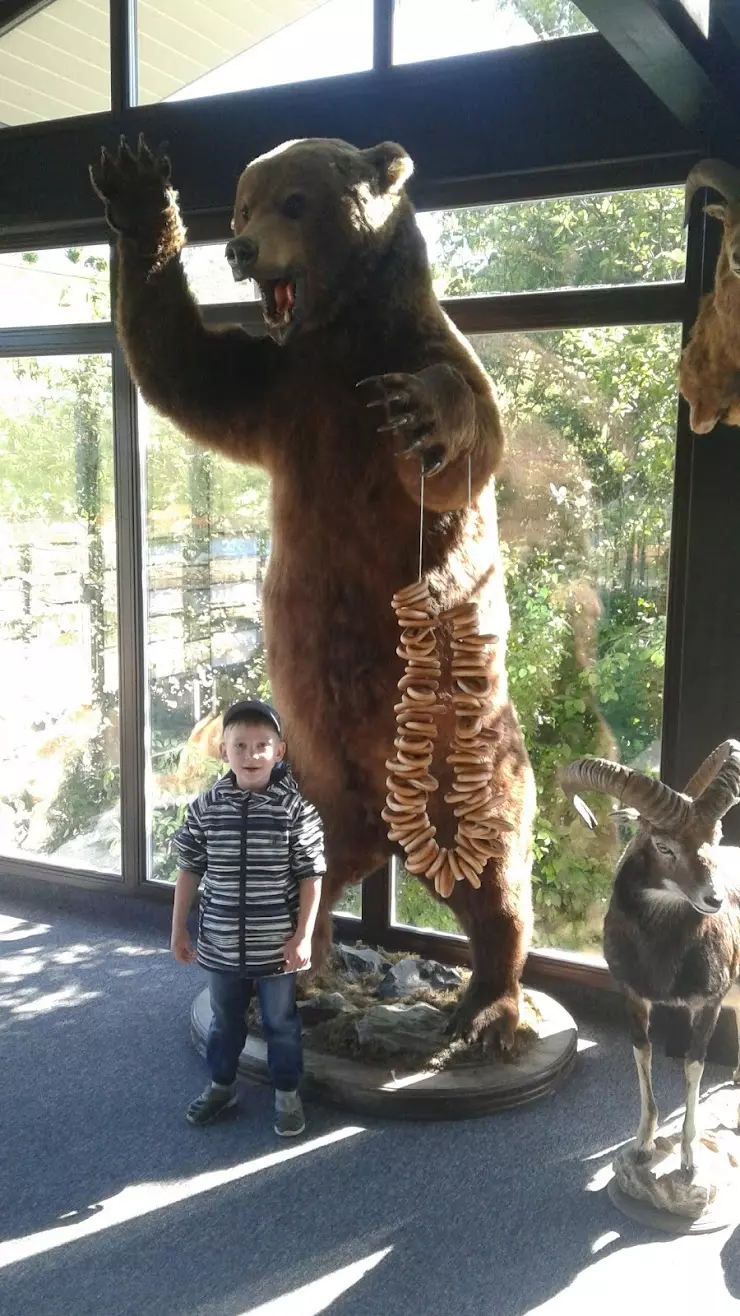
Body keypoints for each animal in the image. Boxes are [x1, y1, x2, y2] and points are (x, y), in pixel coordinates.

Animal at [92, 130, 531, 1037]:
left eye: (295, 202)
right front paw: (136, 185)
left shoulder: (415, 356)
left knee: (493, 865)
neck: (340, 338)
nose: (239, 247)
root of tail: (390, 829)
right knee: (316, 876)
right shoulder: (282, 394)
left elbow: (471, 438)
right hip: (312, 783)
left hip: (463, 749)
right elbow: (182, 366)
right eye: (244, 203)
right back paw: (305, 979)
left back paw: (487, 1007)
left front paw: (422, 413)